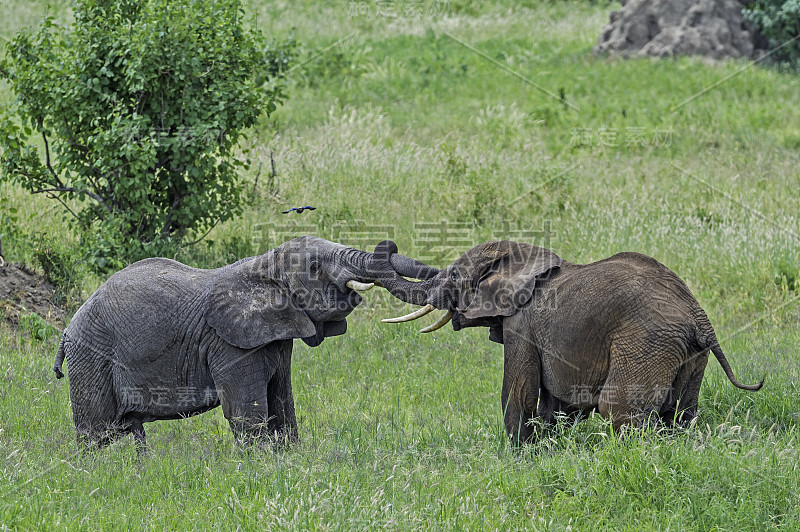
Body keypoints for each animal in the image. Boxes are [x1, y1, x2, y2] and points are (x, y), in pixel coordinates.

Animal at [51, 237, 438, 448]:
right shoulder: (230, 342)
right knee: (98, 434)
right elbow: (247, 414)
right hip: (91, 356)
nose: (387, 245)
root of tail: (67, 332)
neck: (265, 266)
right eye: (314, 266)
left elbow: (283, 407)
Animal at [374, 239, 764, 442]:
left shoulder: (522, 325)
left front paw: (520, 457)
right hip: (692, 355)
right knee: (680, 415)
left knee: (619, 410)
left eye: (455, 275)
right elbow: (558, 404)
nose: (388, 245)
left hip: (647, 342)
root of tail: (700, 318)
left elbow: (519, 393)